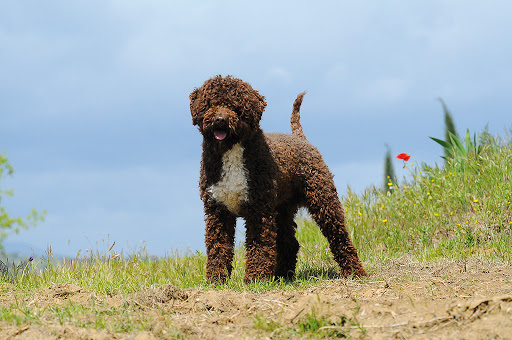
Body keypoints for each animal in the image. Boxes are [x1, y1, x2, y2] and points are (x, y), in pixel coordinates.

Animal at [190, 75, 366, 284]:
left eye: (235, 105)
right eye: (211, 103)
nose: (220, 120)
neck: (231, 151)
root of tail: (301, 138)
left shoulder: (259, 209)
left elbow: (259, 245)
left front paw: (256, 278)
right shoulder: (217, 210)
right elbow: (218, 247)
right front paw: (216, 280)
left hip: (323, 200)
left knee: (339, 236)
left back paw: (355, 271)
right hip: (282, 210)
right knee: (290, 243)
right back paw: (283, 275)